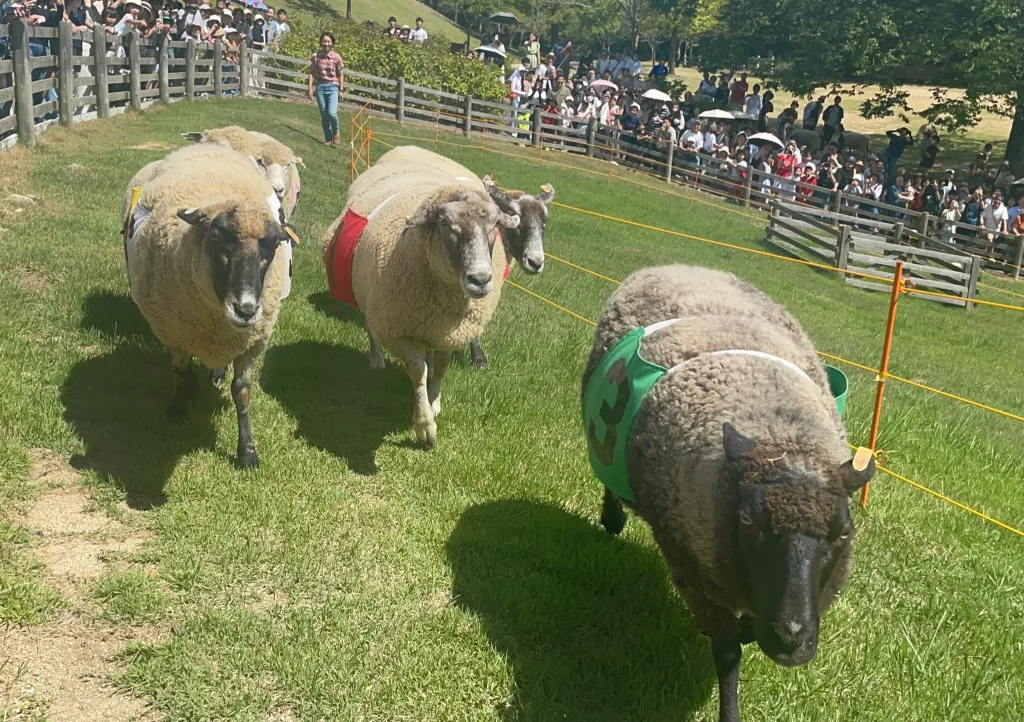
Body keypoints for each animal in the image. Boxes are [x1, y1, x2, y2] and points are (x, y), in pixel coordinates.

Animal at [124, 142, 292, 466]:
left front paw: (247, 451)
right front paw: (180, 405)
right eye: (216, 236)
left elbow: (242, 392)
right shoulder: (175, 333)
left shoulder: (252, 342)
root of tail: (211, 145)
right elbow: (181, 372)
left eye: (272, 246)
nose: (246, 310)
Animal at [321, 153, 520, 444]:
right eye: (445, 223)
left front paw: (434, 401)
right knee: (372, 328)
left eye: (495, 225)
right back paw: (377, 360)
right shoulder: (396, 328)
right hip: (371, 299)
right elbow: (417, 368)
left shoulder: (450, 332)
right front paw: (425, 425)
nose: (481, 279)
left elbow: (442, 366)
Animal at [581, 264, 876, 720]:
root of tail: (686, 265)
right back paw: (611, 519)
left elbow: (746, 632)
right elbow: (728, 651)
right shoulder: (689, 563)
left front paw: (752, 629)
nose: (792, 635)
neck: (779, 434)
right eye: (748, 520)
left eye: (843, 532)